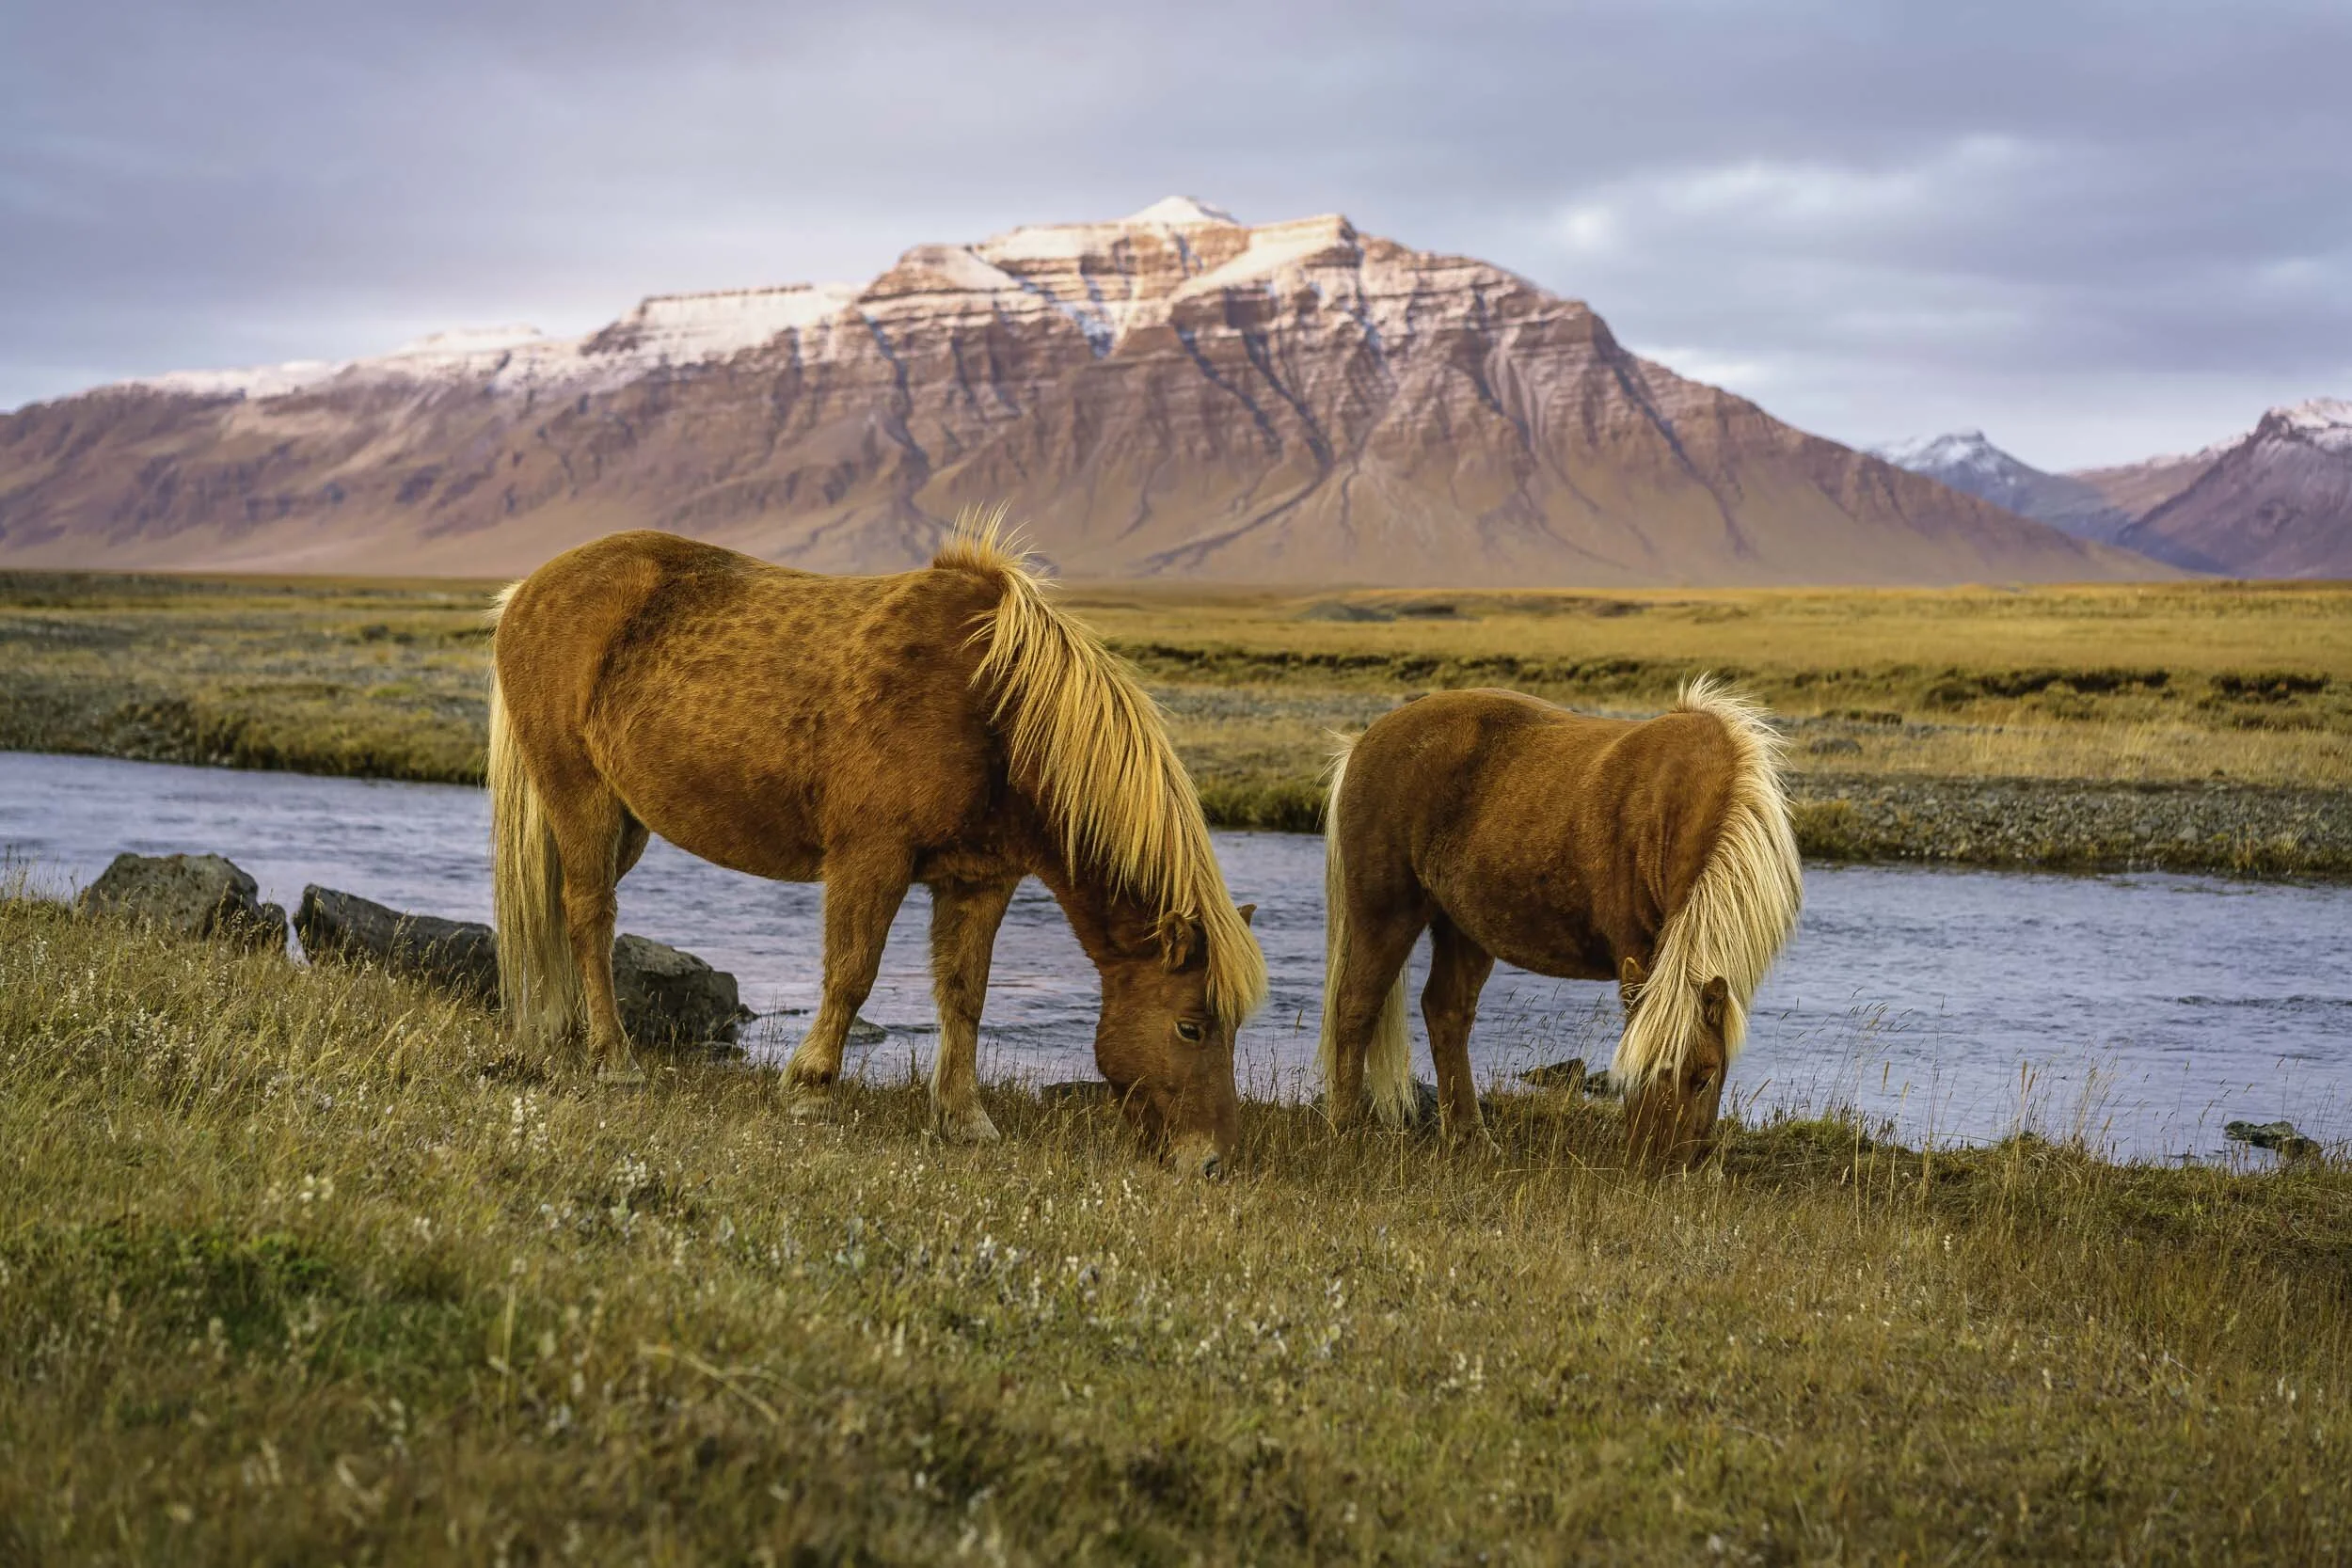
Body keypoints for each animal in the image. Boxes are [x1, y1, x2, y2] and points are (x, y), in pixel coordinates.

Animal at [485, 518, 1267, 1175]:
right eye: (1192, 1027)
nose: (1212, 1161)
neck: (996, 710)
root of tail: (528, 591)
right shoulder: (872, 857)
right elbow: (852, 974)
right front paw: (810, 1089)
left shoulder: (982, 881)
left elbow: (965, 995)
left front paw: (965, 1117)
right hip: (580, 795)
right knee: (590, 916)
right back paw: (614, 1058)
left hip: (626, 818)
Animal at [1317, 678, 1802, 1168]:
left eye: (1704, 1075)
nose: (1655, 1165)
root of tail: (1364, 742)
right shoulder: (1637, 949)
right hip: (1385, 916)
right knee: (1356, 1007)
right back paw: (1345, 1130)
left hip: (1463, 928)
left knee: (1446, 1013)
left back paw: (1472, 1138)